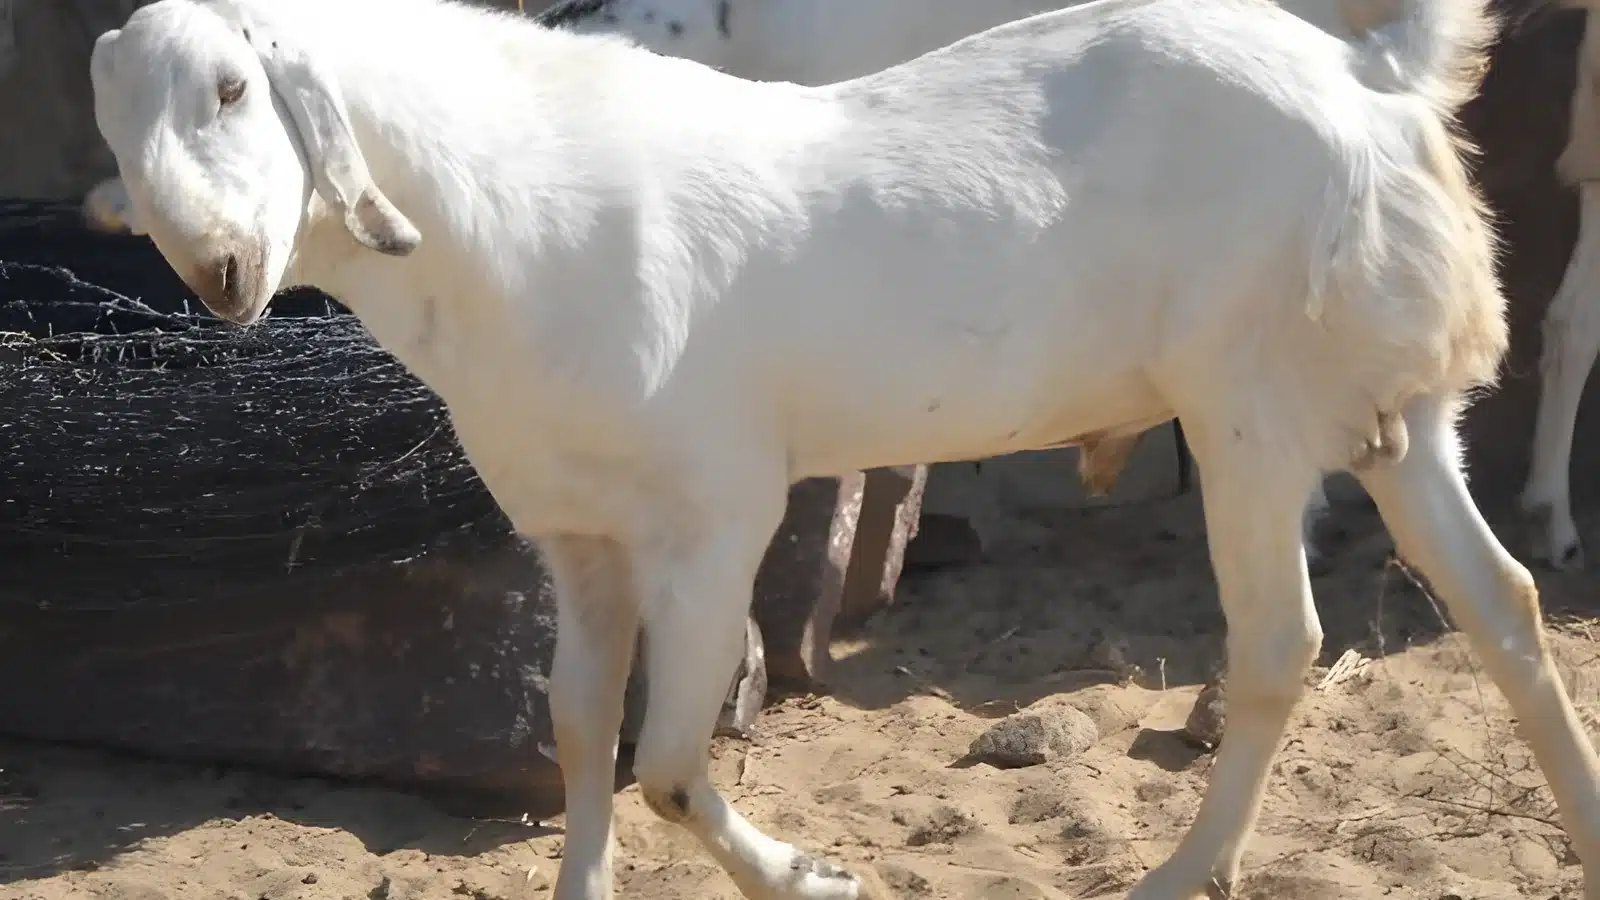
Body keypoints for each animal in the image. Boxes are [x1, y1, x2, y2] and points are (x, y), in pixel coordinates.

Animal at [88, 0, 1600, 898]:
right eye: (116, 113)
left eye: (233, 87)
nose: (219, 272)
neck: (520, 217)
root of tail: (1369, 71)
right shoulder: (574, 534)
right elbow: (579, 728)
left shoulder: (714, 522)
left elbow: (671, 761)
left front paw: (810, 874)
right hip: (1396, 412)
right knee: (1505, 604)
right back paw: (1581, 819)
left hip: (1254, 410)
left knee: (1283, 642)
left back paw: (1184, 872)